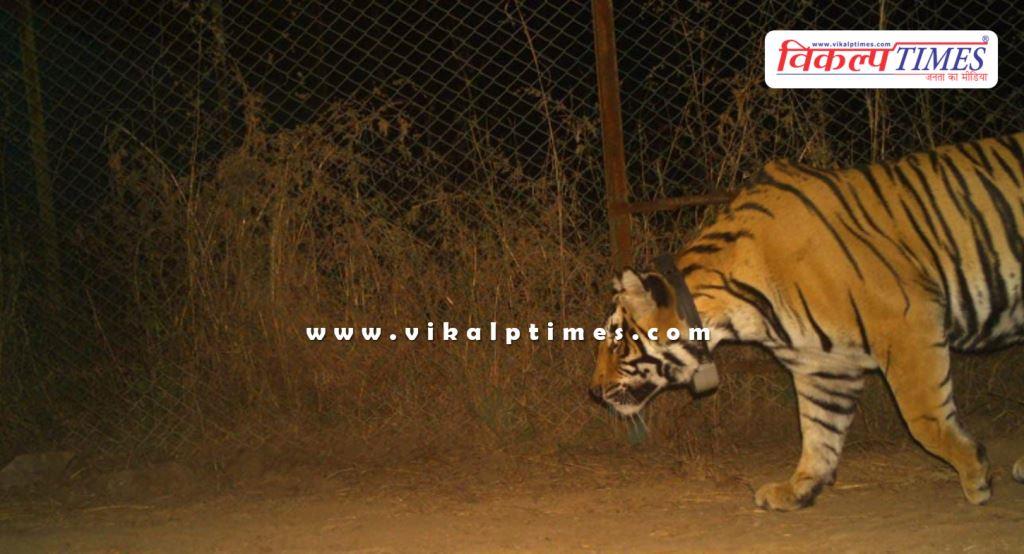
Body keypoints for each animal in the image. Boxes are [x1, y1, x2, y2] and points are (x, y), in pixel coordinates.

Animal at [590, 132, 1024, 511]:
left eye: (617, 343)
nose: (593, 391)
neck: (741, 309)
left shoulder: (906, 321)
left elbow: (924, 419)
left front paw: (976, 476)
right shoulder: (822, 364)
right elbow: (819, 430)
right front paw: (798, 490)